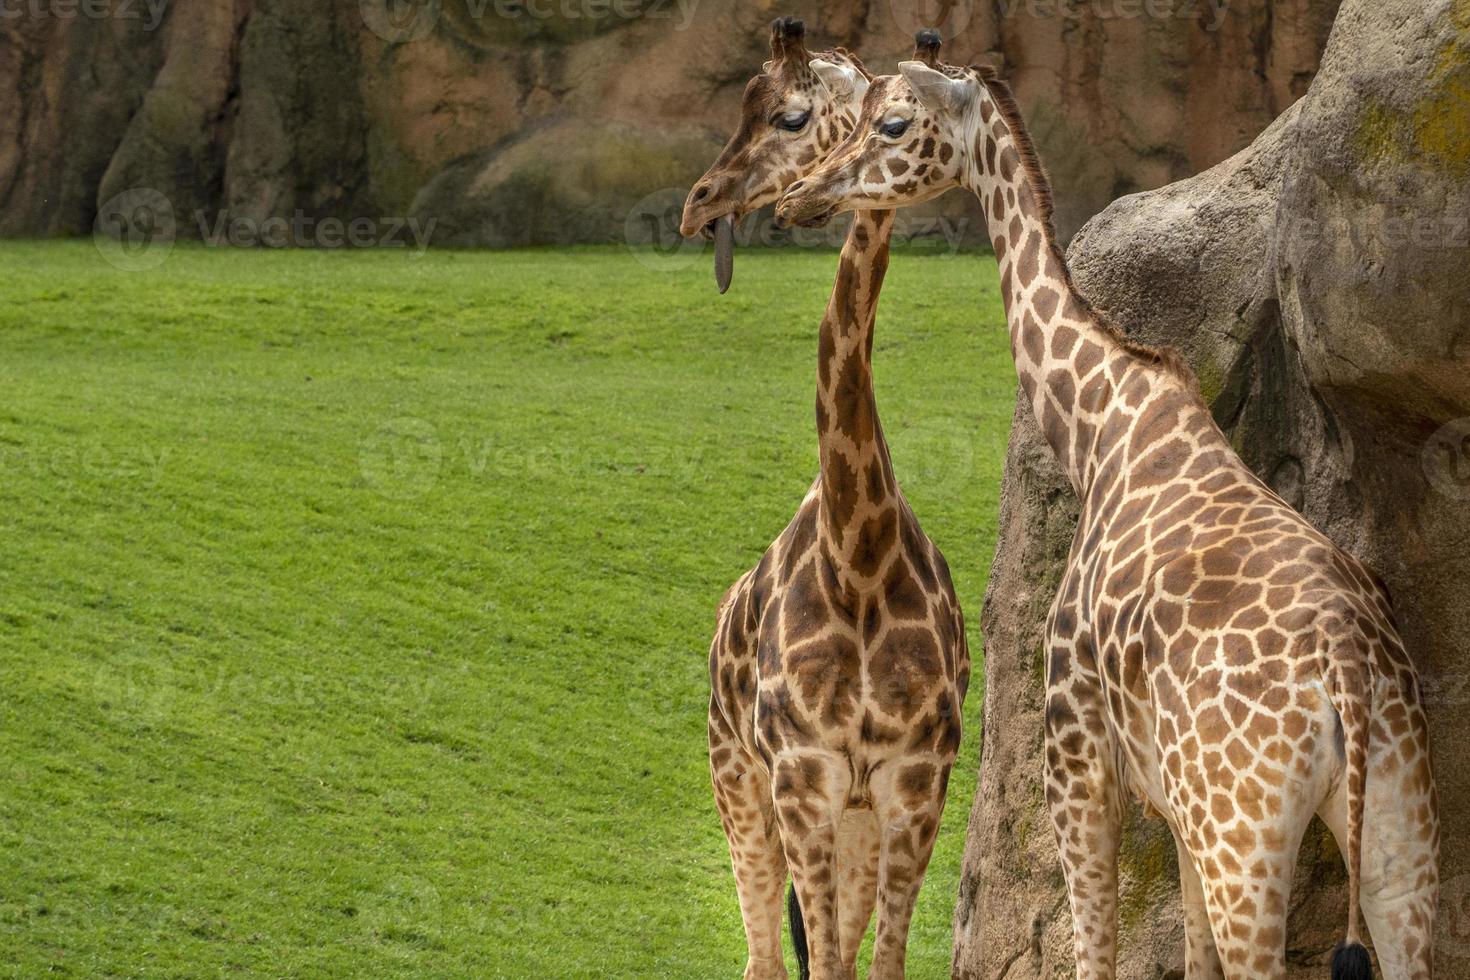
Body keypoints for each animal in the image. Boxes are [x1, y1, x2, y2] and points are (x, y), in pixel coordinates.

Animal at [685, 21, 964, 980]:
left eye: (791, 116)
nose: (698, 203)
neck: (858, 551)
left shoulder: (912, 786)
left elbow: (879, 964)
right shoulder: (801, 776)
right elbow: (824, 964)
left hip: (852, 821)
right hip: (738, 780)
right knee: (764, 957)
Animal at [776, 55, 1440, 980]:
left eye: (894, 124)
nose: (797, 197)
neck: (1100, 428)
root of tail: (1346, 670)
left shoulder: (1077, 755)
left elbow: (1097, 950)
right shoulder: (1174, 807)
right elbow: (1190, 957)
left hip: (1247, 830)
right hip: (1394, 822)